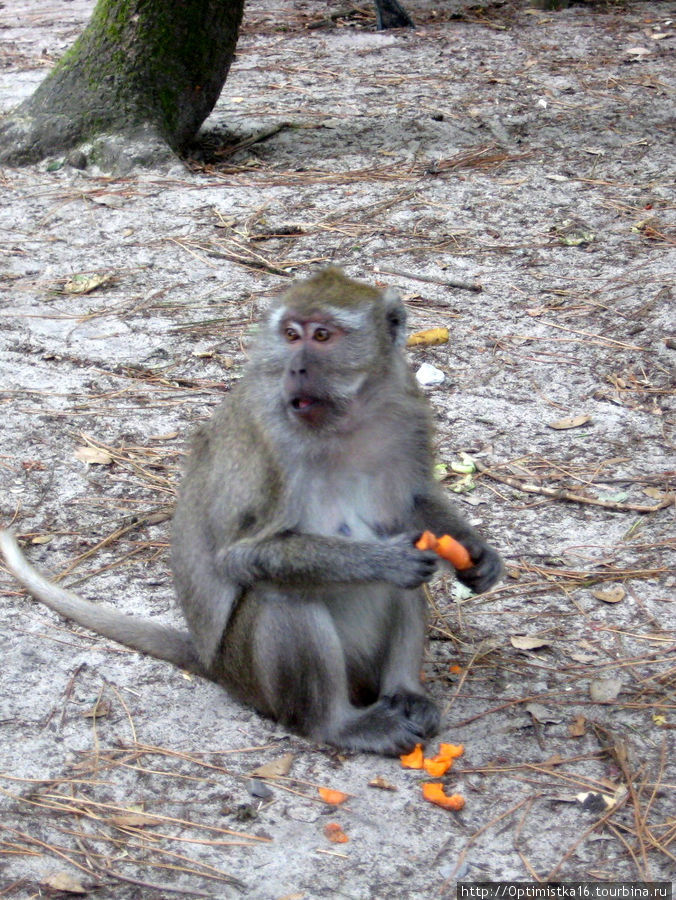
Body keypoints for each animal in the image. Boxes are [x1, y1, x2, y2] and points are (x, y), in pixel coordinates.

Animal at [0, 268, 496, 752]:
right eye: (292, 334)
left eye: (322, 335)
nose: (296, 367)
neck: (341, 422)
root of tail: (212, 662)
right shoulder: (268, 446)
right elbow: (241, 556)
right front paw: (386, 559)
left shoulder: (407, 411)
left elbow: (414, 501)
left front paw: (478, 553)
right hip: (249, 673)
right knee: (282, 596)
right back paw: (339, 726)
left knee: (405, 588)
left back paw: (405, 694)